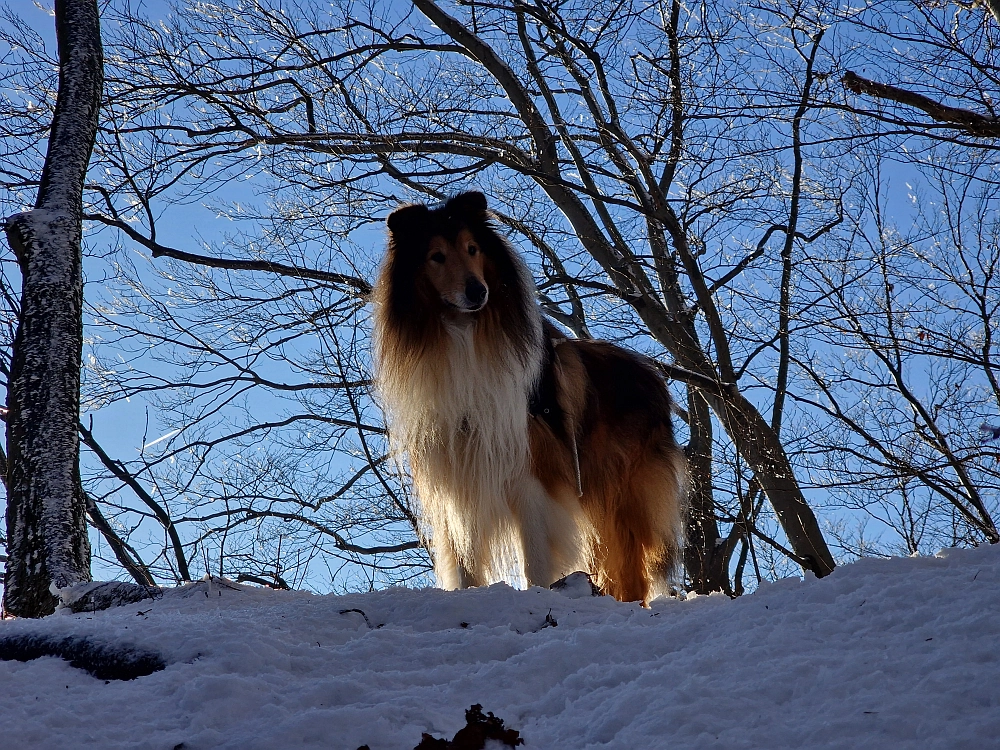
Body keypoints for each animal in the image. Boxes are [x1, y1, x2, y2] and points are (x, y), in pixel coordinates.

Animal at [374, 194, 688, 604]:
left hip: (622, 497)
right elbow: (465, 566)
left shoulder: (533, 477)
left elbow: (534, 562)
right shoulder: (458, 483)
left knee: (632, 573)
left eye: (472, 249)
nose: (477, 292)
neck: (464, 339)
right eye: (436, 256)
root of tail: (653, 375)